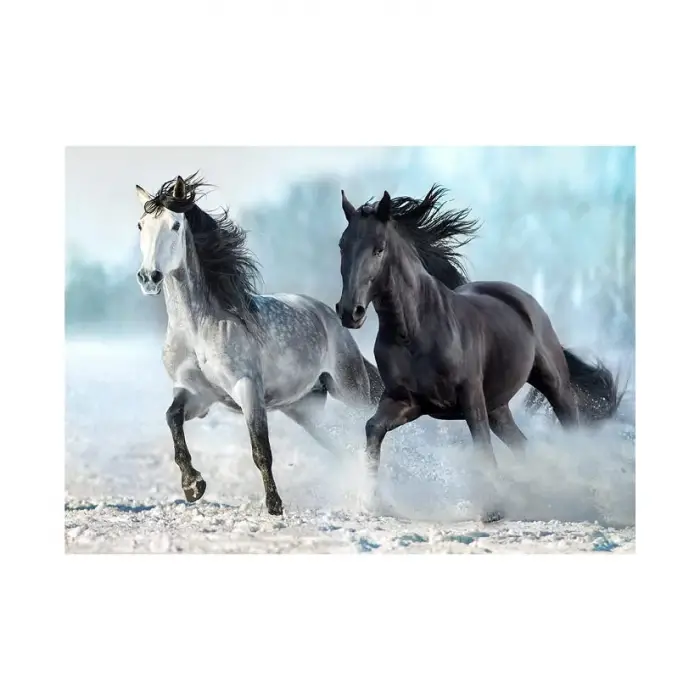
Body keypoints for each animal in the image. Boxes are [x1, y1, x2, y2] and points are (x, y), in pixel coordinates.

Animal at [134, 173, 383, 515]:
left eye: (174, 225)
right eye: (140, 225)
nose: (149, 277)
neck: (198, 328)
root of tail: (327, 314)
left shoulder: (247, 388)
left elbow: (260, 449)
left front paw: (274, 505)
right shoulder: (197, 394)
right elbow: (172, 419)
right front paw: (193, 485)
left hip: (350, 389)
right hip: (304, 409)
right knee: (341, 445)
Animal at [335, 185, 622, 522]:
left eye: (379, 249)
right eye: (342, 246)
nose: (350, 312)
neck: (415, 332)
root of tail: (519, 298)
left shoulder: (470, 398)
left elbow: (482, 447)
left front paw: (493, 509)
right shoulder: (406, 401)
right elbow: (373, 428)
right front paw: (372, 500)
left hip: (553, 383)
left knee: (570, 426)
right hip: (498, 406)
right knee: (522, 445)